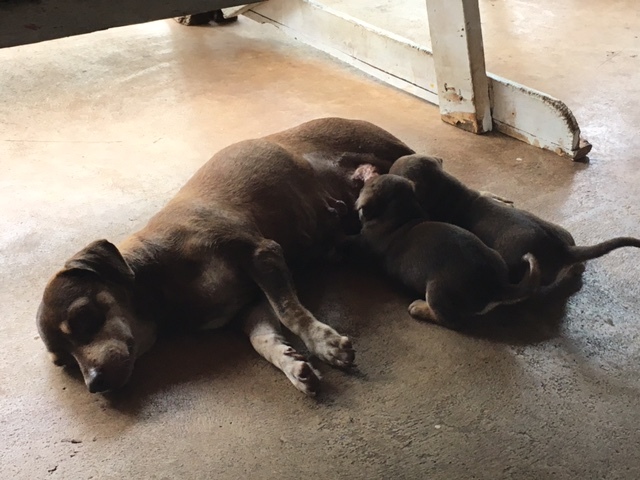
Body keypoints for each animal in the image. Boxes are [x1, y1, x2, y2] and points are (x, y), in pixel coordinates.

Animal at [36, 118, 416, 396]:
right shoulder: (249, 306)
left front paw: (325, 344)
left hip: (390, 152)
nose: (94, 384)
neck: (162, 282)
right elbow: (262, 339)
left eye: (83, 317)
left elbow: (290, 312)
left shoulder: (262, 254)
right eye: (64, 363)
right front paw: (293, 365)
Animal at [356, 174, 540, 328]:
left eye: (370, 184)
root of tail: (499, 285)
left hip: (437, 290)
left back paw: (418, 308)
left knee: (447, 319)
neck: (402, 217)